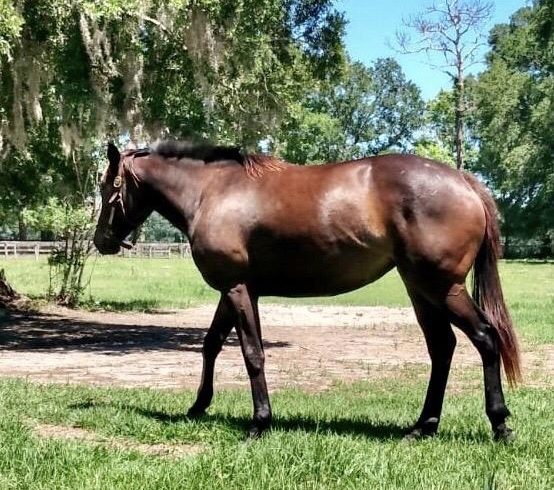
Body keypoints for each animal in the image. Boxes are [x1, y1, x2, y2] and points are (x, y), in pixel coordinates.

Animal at [92, 141, 520, 440]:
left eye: (107, 186)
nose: (101, 241)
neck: (213, 191)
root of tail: (463, 180)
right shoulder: (235, 290)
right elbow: (211, 344)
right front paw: (198, 405)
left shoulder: (237, 289)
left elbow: (252, 354)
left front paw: (260, 423)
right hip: (421, 290)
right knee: (442, 348)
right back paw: (422, 426)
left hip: (442, 287)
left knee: (485, 338)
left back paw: (499, 424)